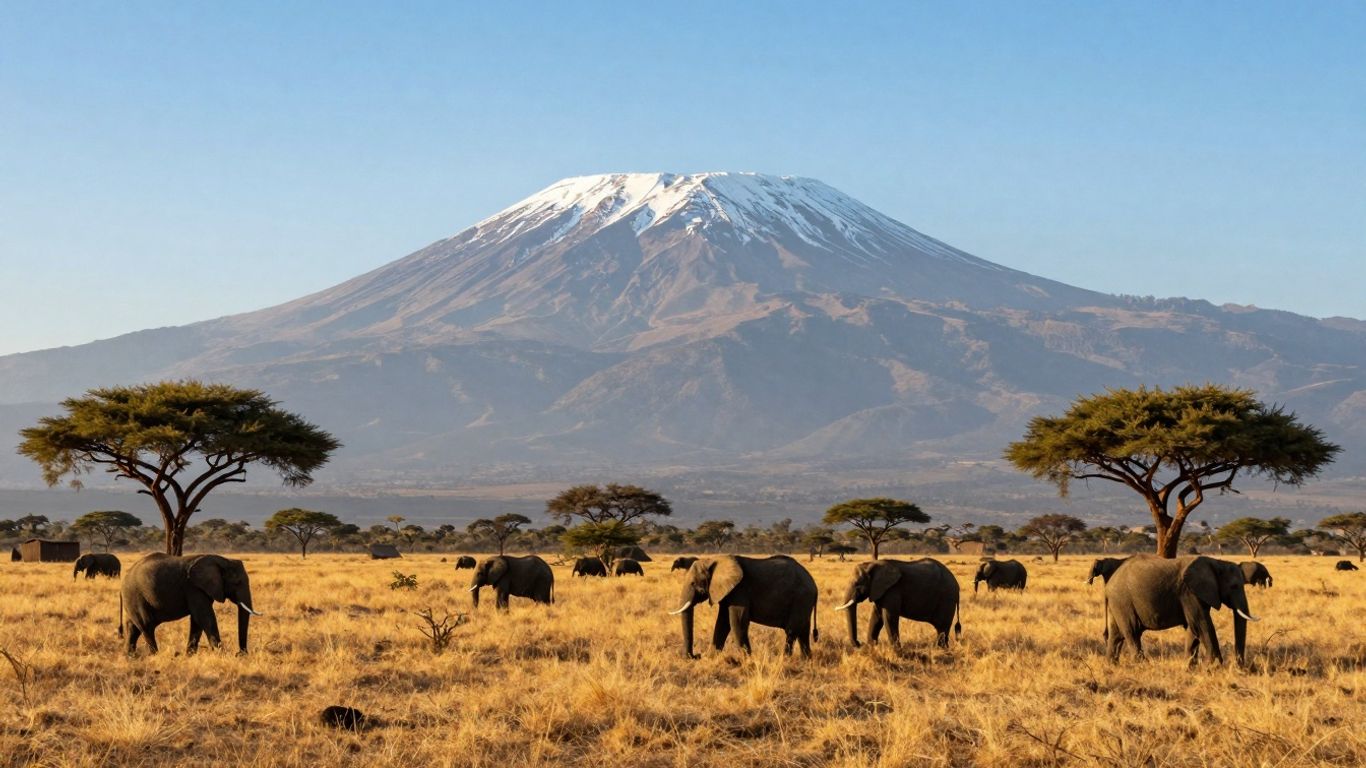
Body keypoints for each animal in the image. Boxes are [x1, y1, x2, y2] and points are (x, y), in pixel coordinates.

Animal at [120, 553, 258, 655]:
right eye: (237, 582)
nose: (240, 654)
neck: (223, 560)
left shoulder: (202, 589)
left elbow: (197, 620)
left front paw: (190, 655)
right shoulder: (193, 588)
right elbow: (204, 617)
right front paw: (221, 655)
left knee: (133, 627)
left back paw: (129, 656)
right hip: (135, 595)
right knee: (146, 625)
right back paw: (154, 655)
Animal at [669, 555, 818, 658]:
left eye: (693, 583)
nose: (696, 655)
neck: (713, 559)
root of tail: (815, 586)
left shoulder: (740, 590)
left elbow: (737, 621)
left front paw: (746, 659)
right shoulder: (727, 592)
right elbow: (722, 623)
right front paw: (711, 657)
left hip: (801, 598)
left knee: (792, 631)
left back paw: (785, 659)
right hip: (804, 602)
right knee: (803, 631)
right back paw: (806, 660)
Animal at [1104, 555, 1259, 667]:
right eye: (1234, 586)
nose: (1240, 666)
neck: (1216, 562)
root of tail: (1110, 582)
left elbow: (1193, 628)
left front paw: (1190, 666)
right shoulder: (1189, 593)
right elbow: (1201, 624)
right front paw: (1214, 666)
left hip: (1117, 603)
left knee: (1117, 634)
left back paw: (1112, 665)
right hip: (1123, 601)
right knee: (1132, 631)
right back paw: (1142, 665)